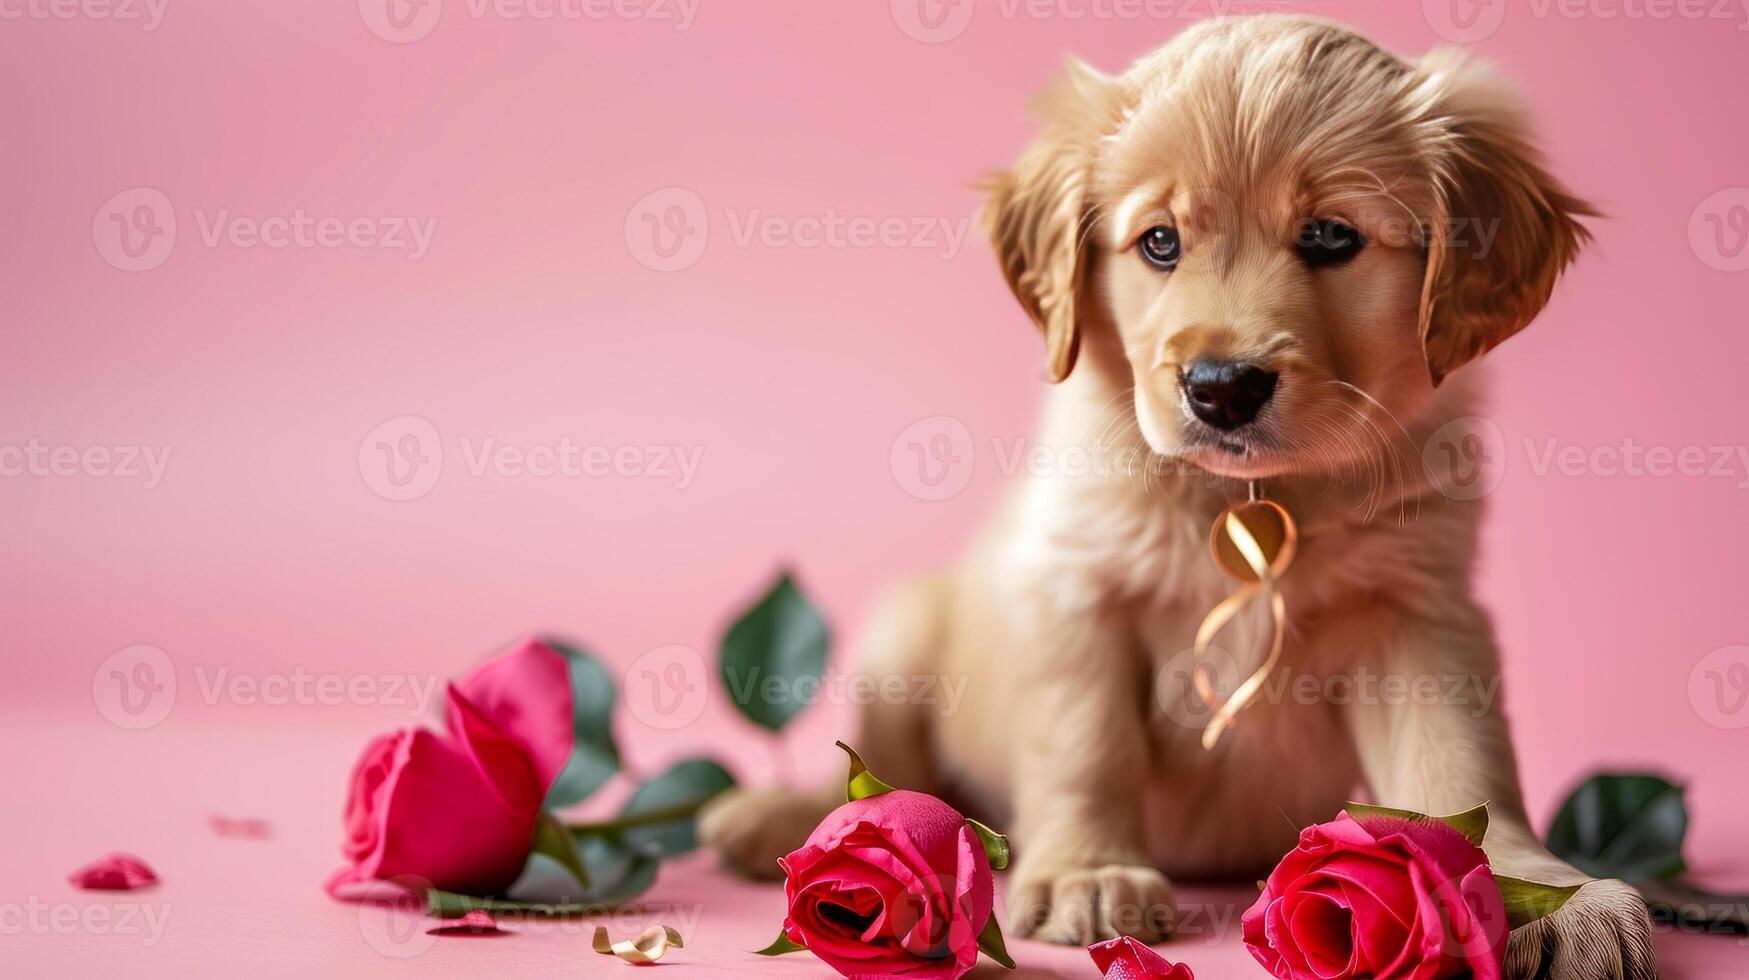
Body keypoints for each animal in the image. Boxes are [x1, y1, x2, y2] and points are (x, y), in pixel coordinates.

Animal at [699, 15, 1651, 980]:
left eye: (1330, 236)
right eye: (1158, 243)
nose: (1221, 387)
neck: (1251, 498)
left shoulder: (1416, 611)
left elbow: (1464, 766)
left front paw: (1553, 899)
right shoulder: (1075, 590)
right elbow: (1085, 741)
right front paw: (1087, 873)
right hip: (902, 634)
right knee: (883, 780)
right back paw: (778, 820)